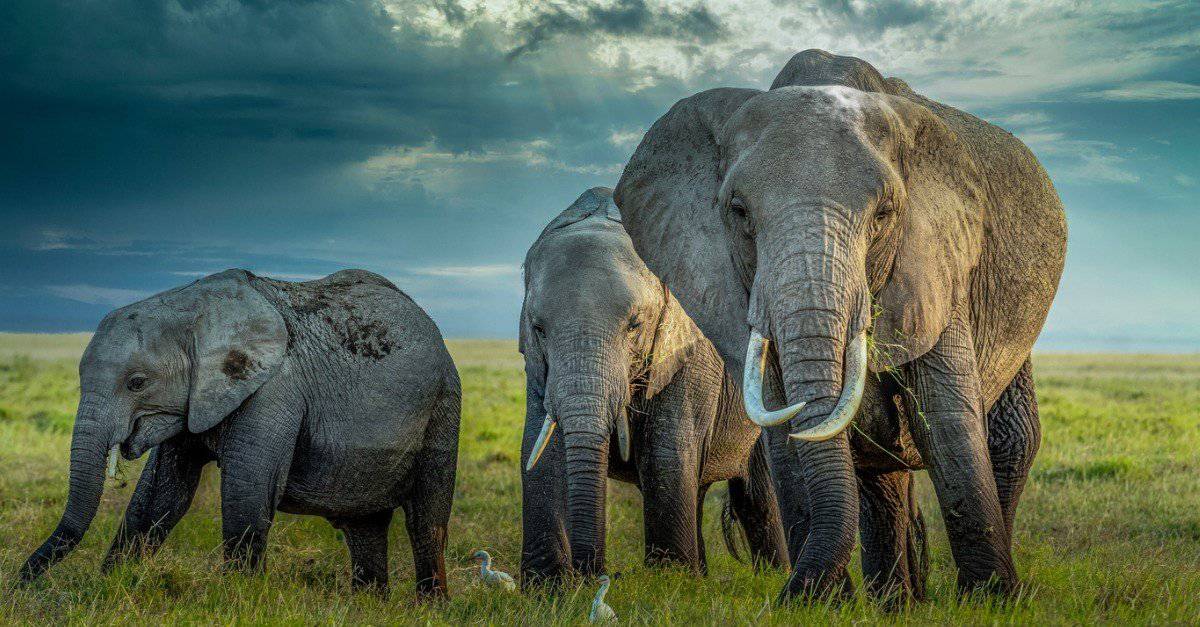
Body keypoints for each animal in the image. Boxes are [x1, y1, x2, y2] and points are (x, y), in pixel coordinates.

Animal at [19, 269, 461, 599]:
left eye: (137, 383)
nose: (21, 583)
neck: (193, 310)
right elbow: (159, 497)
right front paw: (110, 587)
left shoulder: (274, 390)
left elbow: (248, 490)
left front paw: (238, 600)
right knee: (364, 525)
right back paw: (368, 605)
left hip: (444, 401)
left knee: (426, 519)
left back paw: (429, 606)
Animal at [518, 188, 788, 585]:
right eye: (538, 329)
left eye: (635, 325)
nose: (596, 575)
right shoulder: (539, 369)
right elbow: (541, 451)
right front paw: (547, 587)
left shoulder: (692, 351)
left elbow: (668, 452)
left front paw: (668, 580)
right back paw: (700, 576)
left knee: (758, 496)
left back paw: (773, 576)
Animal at [615, 50, 1066, 603]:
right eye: (738, 212)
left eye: (884, 215)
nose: (789, 594)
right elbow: (786, 433)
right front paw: (825, 604)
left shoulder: (937, 263)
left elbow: (946, 420)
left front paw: (991, 600)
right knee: (882, 470)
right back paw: (895, 603)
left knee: (1009, 439)